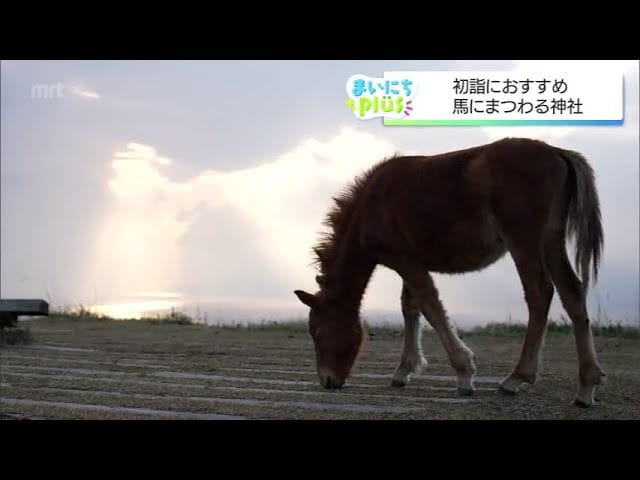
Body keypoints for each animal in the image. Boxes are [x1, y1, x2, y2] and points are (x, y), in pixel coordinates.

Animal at [294, 137, 606, 408]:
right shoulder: (412, 262)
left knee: (540, 292)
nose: (327, 381)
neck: (373, 205)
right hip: (551, 240)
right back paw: (586, 387)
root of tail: (558, 152)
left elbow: (430, 306)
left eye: (317, 333)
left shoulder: (404, 260)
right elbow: (411, 307)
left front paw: (464, 374)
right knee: (572, 291)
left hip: (523, 239)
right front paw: (404, 371)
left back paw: (516, 378)